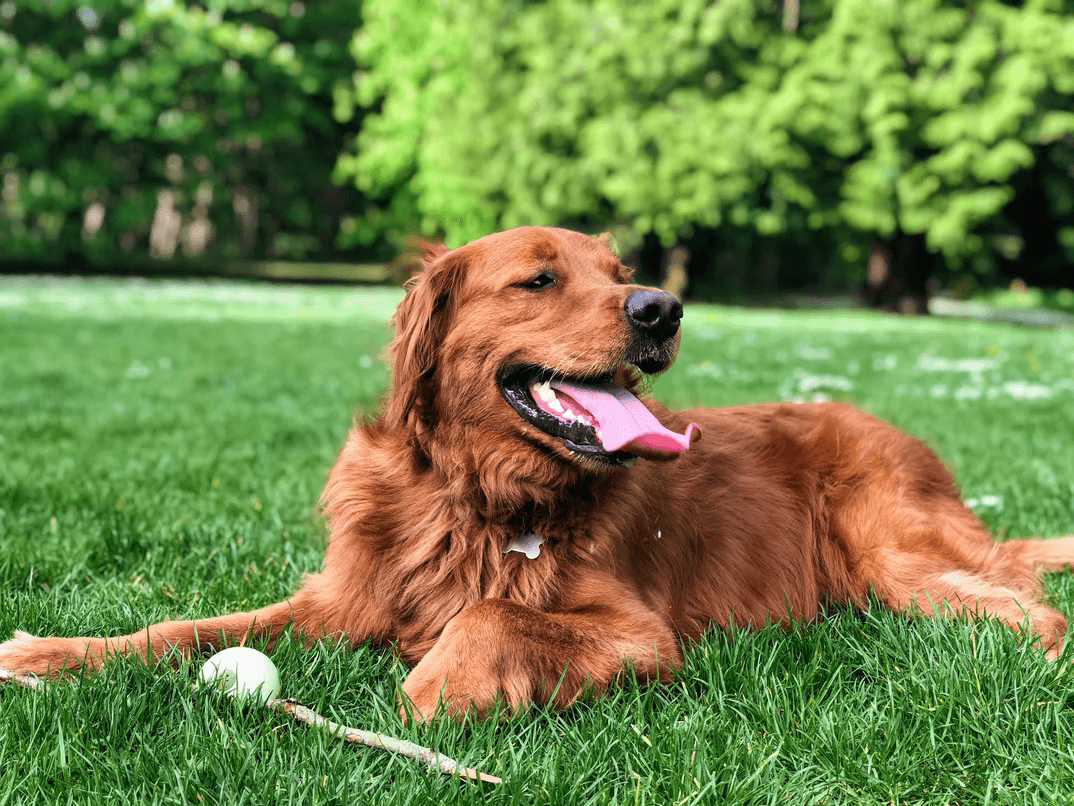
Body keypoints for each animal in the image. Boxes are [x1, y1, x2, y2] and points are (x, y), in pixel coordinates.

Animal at [2, 225, 1074, 717]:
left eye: (620, 272)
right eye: (540, 278)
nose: (661, 307)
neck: (472, 493)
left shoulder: (643, 635)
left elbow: (489, 613)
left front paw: (435, 685)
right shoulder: (340, 599)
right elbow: (184, 626)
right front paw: (52, 652)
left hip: (890, 553)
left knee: (1031, 609)